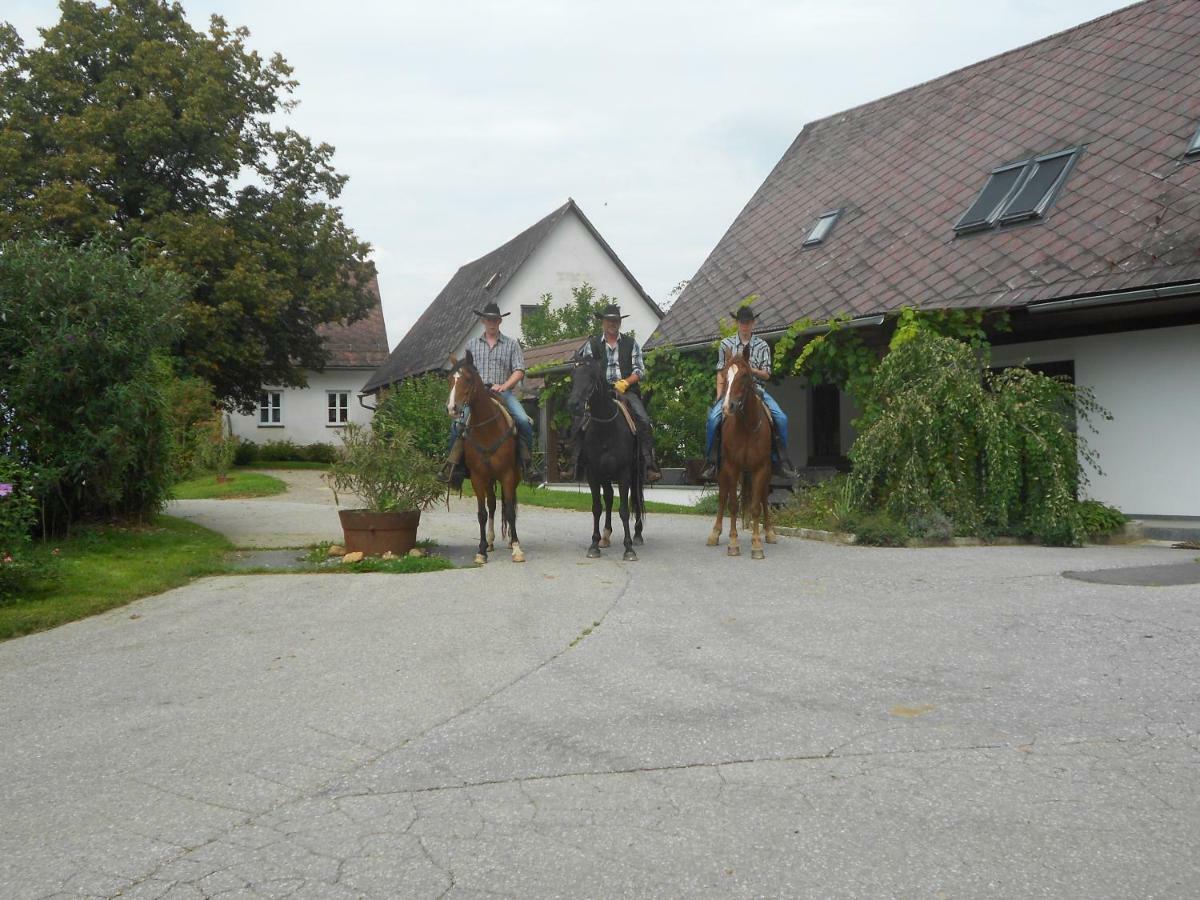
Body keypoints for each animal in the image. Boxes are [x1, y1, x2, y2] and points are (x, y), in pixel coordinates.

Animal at [448, 350, 523, 564]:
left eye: (467, 378)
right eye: (450, 379)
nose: (452, 408)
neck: (488, 430)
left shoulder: (507, 475)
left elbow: (510, 511)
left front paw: (517, 548)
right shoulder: (478, 477)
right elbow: (482, 513)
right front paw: (481, 550)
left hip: (512, 477)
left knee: (509, 505)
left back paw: (511, 542)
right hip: (490, 480)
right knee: (493, 505)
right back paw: (490, 541)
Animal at [566, 355, 643, 561]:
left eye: (592, 377)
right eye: (573, 376)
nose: (574, 405)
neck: (607, 428)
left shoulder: (624, 473)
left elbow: (624, 510)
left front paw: (629, 549)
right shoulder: (593, 473)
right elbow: (597, 507)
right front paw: (594, 544)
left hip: (635, 473)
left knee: (637, 498)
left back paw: (638, 534)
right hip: (605, 475)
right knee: (608, 497)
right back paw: (606, 536)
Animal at [700, 343, 777, 561]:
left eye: (744, 375)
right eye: (725, 375)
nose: (728, 406)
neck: (746, 427)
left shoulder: (761, 469)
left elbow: (756, 506)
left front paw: (757, 544)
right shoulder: (731, 467)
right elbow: (732, 505)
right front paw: (733, 543)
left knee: (763, 498)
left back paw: (770, 533)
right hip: (722, 472)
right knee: (723, 497)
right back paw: (715, 533)